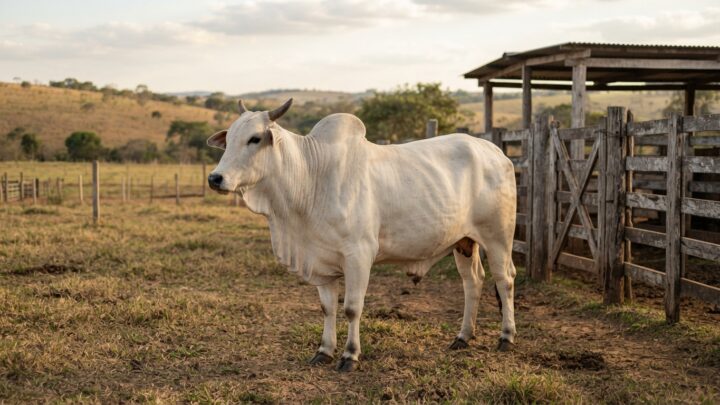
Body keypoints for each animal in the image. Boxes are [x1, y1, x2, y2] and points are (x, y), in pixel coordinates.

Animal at [207, 99, 517, 372]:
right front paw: (324, 351)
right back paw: (463, 337)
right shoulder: (321, 261)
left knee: (505, 280)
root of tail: (496, 152)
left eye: (255, 139)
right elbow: (327, 308)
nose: (215, 178)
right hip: (463, 242)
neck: (311, 179)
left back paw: (506, 337)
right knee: (472, 282)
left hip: (498, 237)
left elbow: (351, 308)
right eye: (229, 138)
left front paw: (350, 355)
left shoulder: (358, 256)